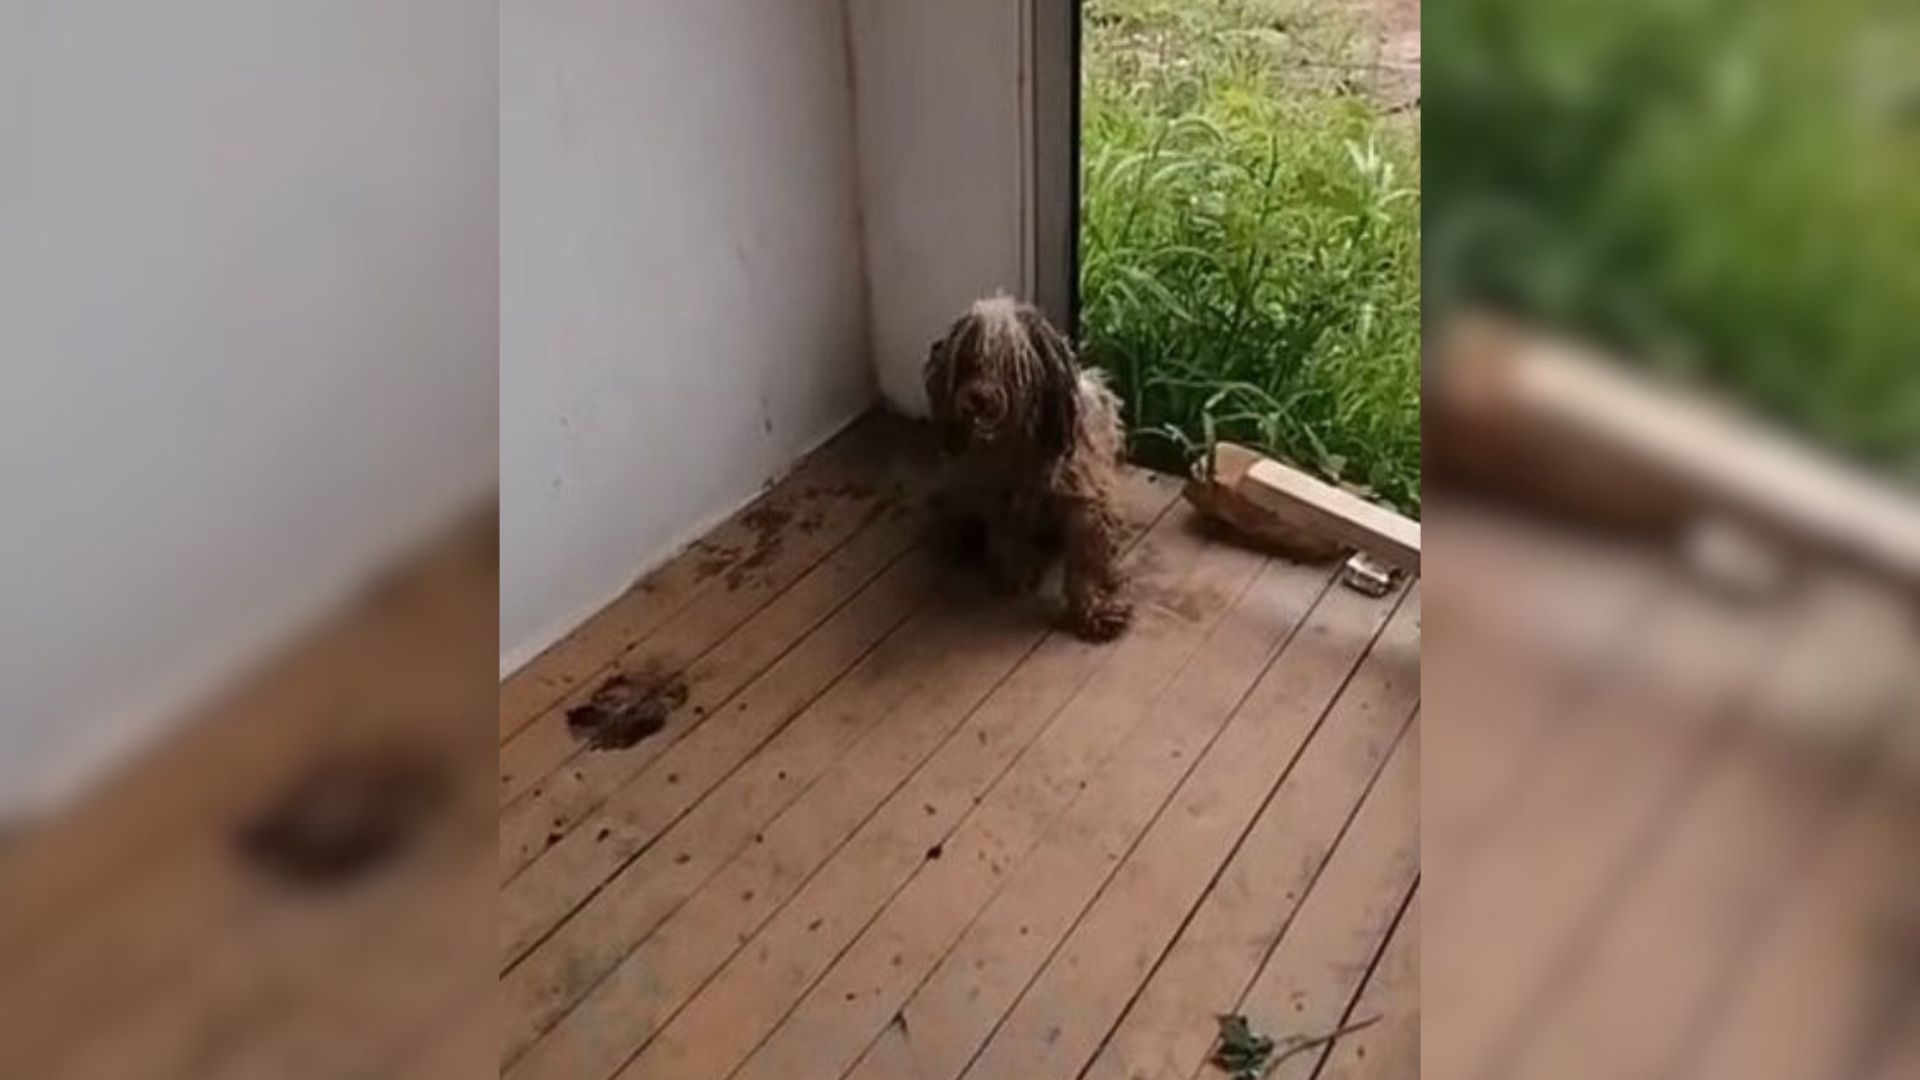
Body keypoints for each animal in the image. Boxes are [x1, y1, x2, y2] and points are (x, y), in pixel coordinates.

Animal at [921, 292, 1128, 638]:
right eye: (969, 357)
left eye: (1011, 363)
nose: (978, 397)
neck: (1018, 448)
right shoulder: (996, 494)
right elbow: (1005, 534)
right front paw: (1015, 570)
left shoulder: (1084, 501)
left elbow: (1087, 558)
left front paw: (1093, 607)